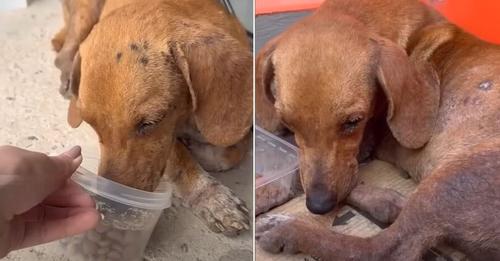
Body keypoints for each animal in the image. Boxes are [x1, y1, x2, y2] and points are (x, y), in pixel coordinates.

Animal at [53, 0, 254, 236]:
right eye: (92, 125)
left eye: (150, 123)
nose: (110, 208)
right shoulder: (170, 140)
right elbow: (180, 160)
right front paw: (209, 195)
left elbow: (233, 151)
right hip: (84, 14)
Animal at [256, 0, 500, 258]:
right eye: (288, 122)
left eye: (353, 121)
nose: (318, 205)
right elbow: (296, 164)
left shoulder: (363, 145)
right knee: (390, 210)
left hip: (458, 174)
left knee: (383, 247)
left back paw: (288, 229)